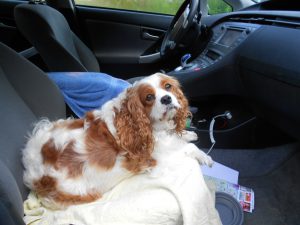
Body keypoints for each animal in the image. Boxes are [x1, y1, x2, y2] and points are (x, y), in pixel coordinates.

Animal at [22, 73, 212, 208]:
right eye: (149, 97)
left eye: (168, 86)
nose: (166, 98)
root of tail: (30, 165)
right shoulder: (159, 159)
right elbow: (189, 148)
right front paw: (204, 157)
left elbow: (182, 139)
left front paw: (187, 134)